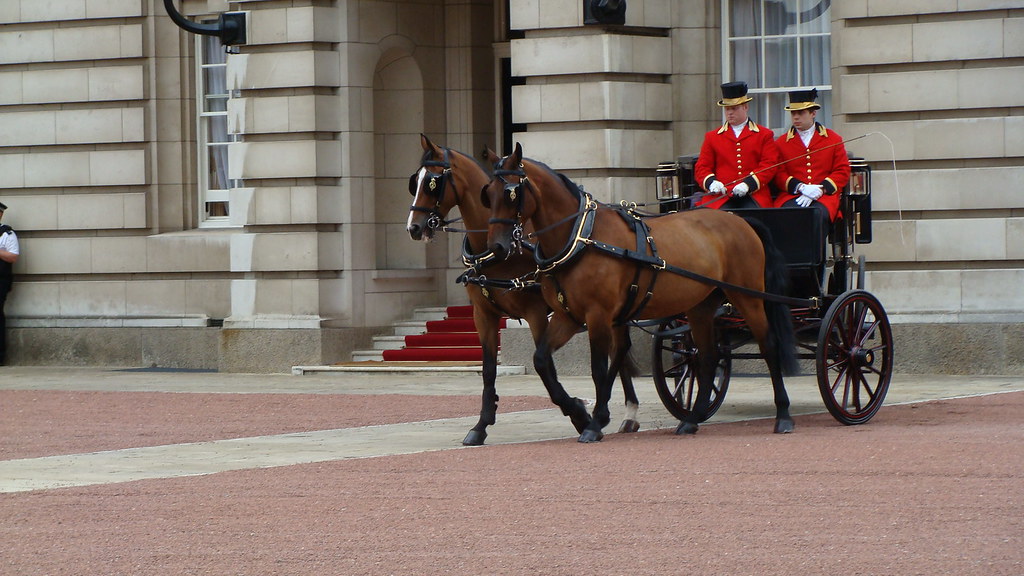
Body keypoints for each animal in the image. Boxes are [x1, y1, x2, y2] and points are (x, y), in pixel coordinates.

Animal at [407, 134, 641, 445]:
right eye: (415, 181)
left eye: (432, 183)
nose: (413, 227)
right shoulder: (484, 315)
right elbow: (489, 369)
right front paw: (481, 424)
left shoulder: (536, 313)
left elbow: (546, 365)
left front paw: (577, 412)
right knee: (620, 350)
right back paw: (627, 412)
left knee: (619, 349)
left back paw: (622, 411)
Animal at [481, 143, 800, 442]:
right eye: (488, 193)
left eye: (511, 193)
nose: (496, 247)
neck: (581, 237)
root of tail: (740, 220)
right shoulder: (567, 316)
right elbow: (541, 360)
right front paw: (578, 410)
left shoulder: (598, 315)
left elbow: (598, 368)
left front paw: (593, 422)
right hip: (701, 305)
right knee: (707, 357)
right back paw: (691, 419)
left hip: (749, 297)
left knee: (769, 345)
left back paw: (783, 415)